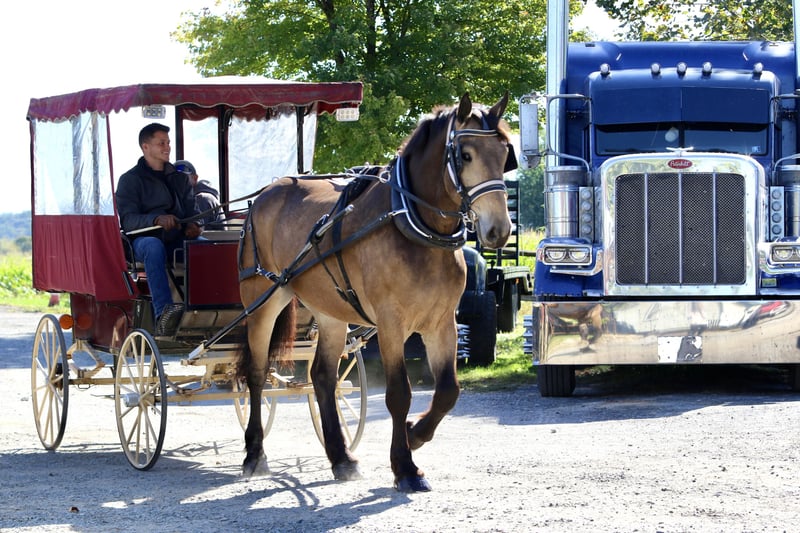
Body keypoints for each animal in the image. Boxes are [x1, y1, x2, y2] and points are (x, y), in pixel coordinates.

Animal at [236, 92, 514, 492]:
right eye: (464, 155)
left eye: (505, 152)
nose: (499, 230)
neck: (413, 225)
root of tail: (264, 195)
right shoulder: (391, 324)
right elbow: (399, 394)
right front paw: (405, 467)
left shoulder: (441, 323)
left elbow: (448, 391)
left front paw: (415, 434)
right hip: (263, 301)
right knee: (257, 375)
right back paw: (255, 453)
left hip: (331, 314)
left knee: (323, 378)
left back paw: (341, 457)